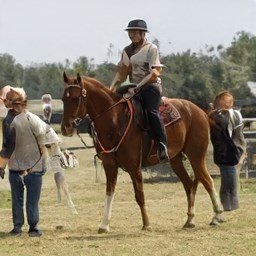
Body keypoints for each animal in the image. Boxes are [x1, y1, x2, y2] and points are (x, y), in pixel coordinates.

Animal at [61, 71, 223, 232]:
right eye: (63, 99)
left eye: (75, 98)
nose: (65, 128)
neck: (115, 120)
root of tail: (200, 112)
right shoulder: (109, 166)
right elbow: (109, 193)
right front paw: (104, 225)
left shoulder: (134, 167)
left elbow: (139, 195)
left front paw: (146, 224)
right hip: (176, 159)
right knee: (189, 184)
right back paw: (190, 220)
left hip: (196, 155)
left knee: (207, 181)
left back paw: (217, 216)